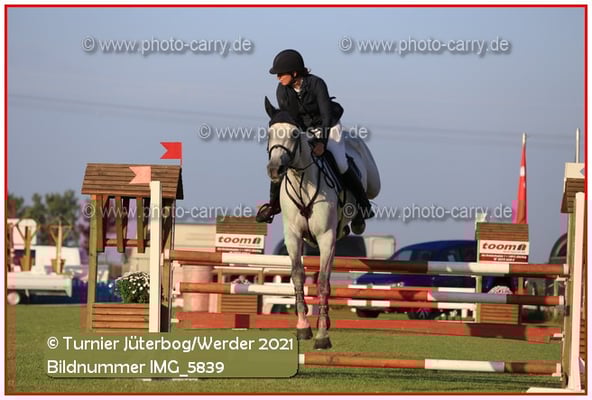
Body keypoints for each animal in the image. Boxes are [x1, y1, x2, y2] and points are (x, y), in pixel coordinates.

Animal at [264, 97, 380, 349]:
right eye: (269, 133)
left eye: (295, 133)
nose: (274, 170)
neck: (301, 180)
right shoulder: (293, 236)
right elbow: (298, 276)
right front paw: (303, 327)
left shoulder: (326, 236)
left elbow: (324, 283)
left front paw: (322, 336)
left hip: (373, 182)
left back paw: (359, 220)